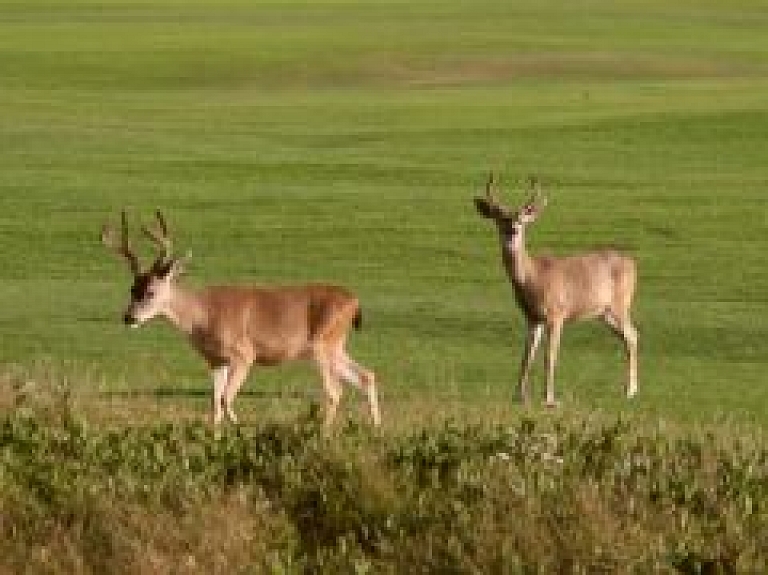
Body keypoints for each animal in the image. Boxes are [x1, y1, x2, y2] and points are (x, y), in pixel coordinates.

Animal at [100, 212, 380, 432]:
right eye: (132, 289)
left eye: (151, 292)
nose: (128, 318)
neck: (203, 315)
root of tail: (354, 301)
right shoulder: (215, 360)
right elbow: (215, 403)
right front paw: (216, 437)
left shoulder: (244, 354)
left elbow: (225, 399)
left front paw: (239, 426)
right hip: (335, 346)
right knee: (366, 375)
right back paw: (376, 428)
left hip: (323, 343)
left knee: (335, 390)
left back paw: (324, 434)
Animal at [472, 173, 640, 408]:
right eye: (501, 218)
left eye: (523, 220)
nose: (513, 231)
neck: (533, 279)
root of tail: (632, 262)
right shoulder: (532, 318)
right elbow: (527, 356)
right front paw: (519, 396)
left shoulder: (556, 313)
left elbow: (550, 356)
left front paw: (549, 398)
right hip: (604, 313)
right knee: (630, 335)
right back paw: (630, 389)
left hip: (621, 304)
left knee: (632, 334)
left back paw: (630, 391)